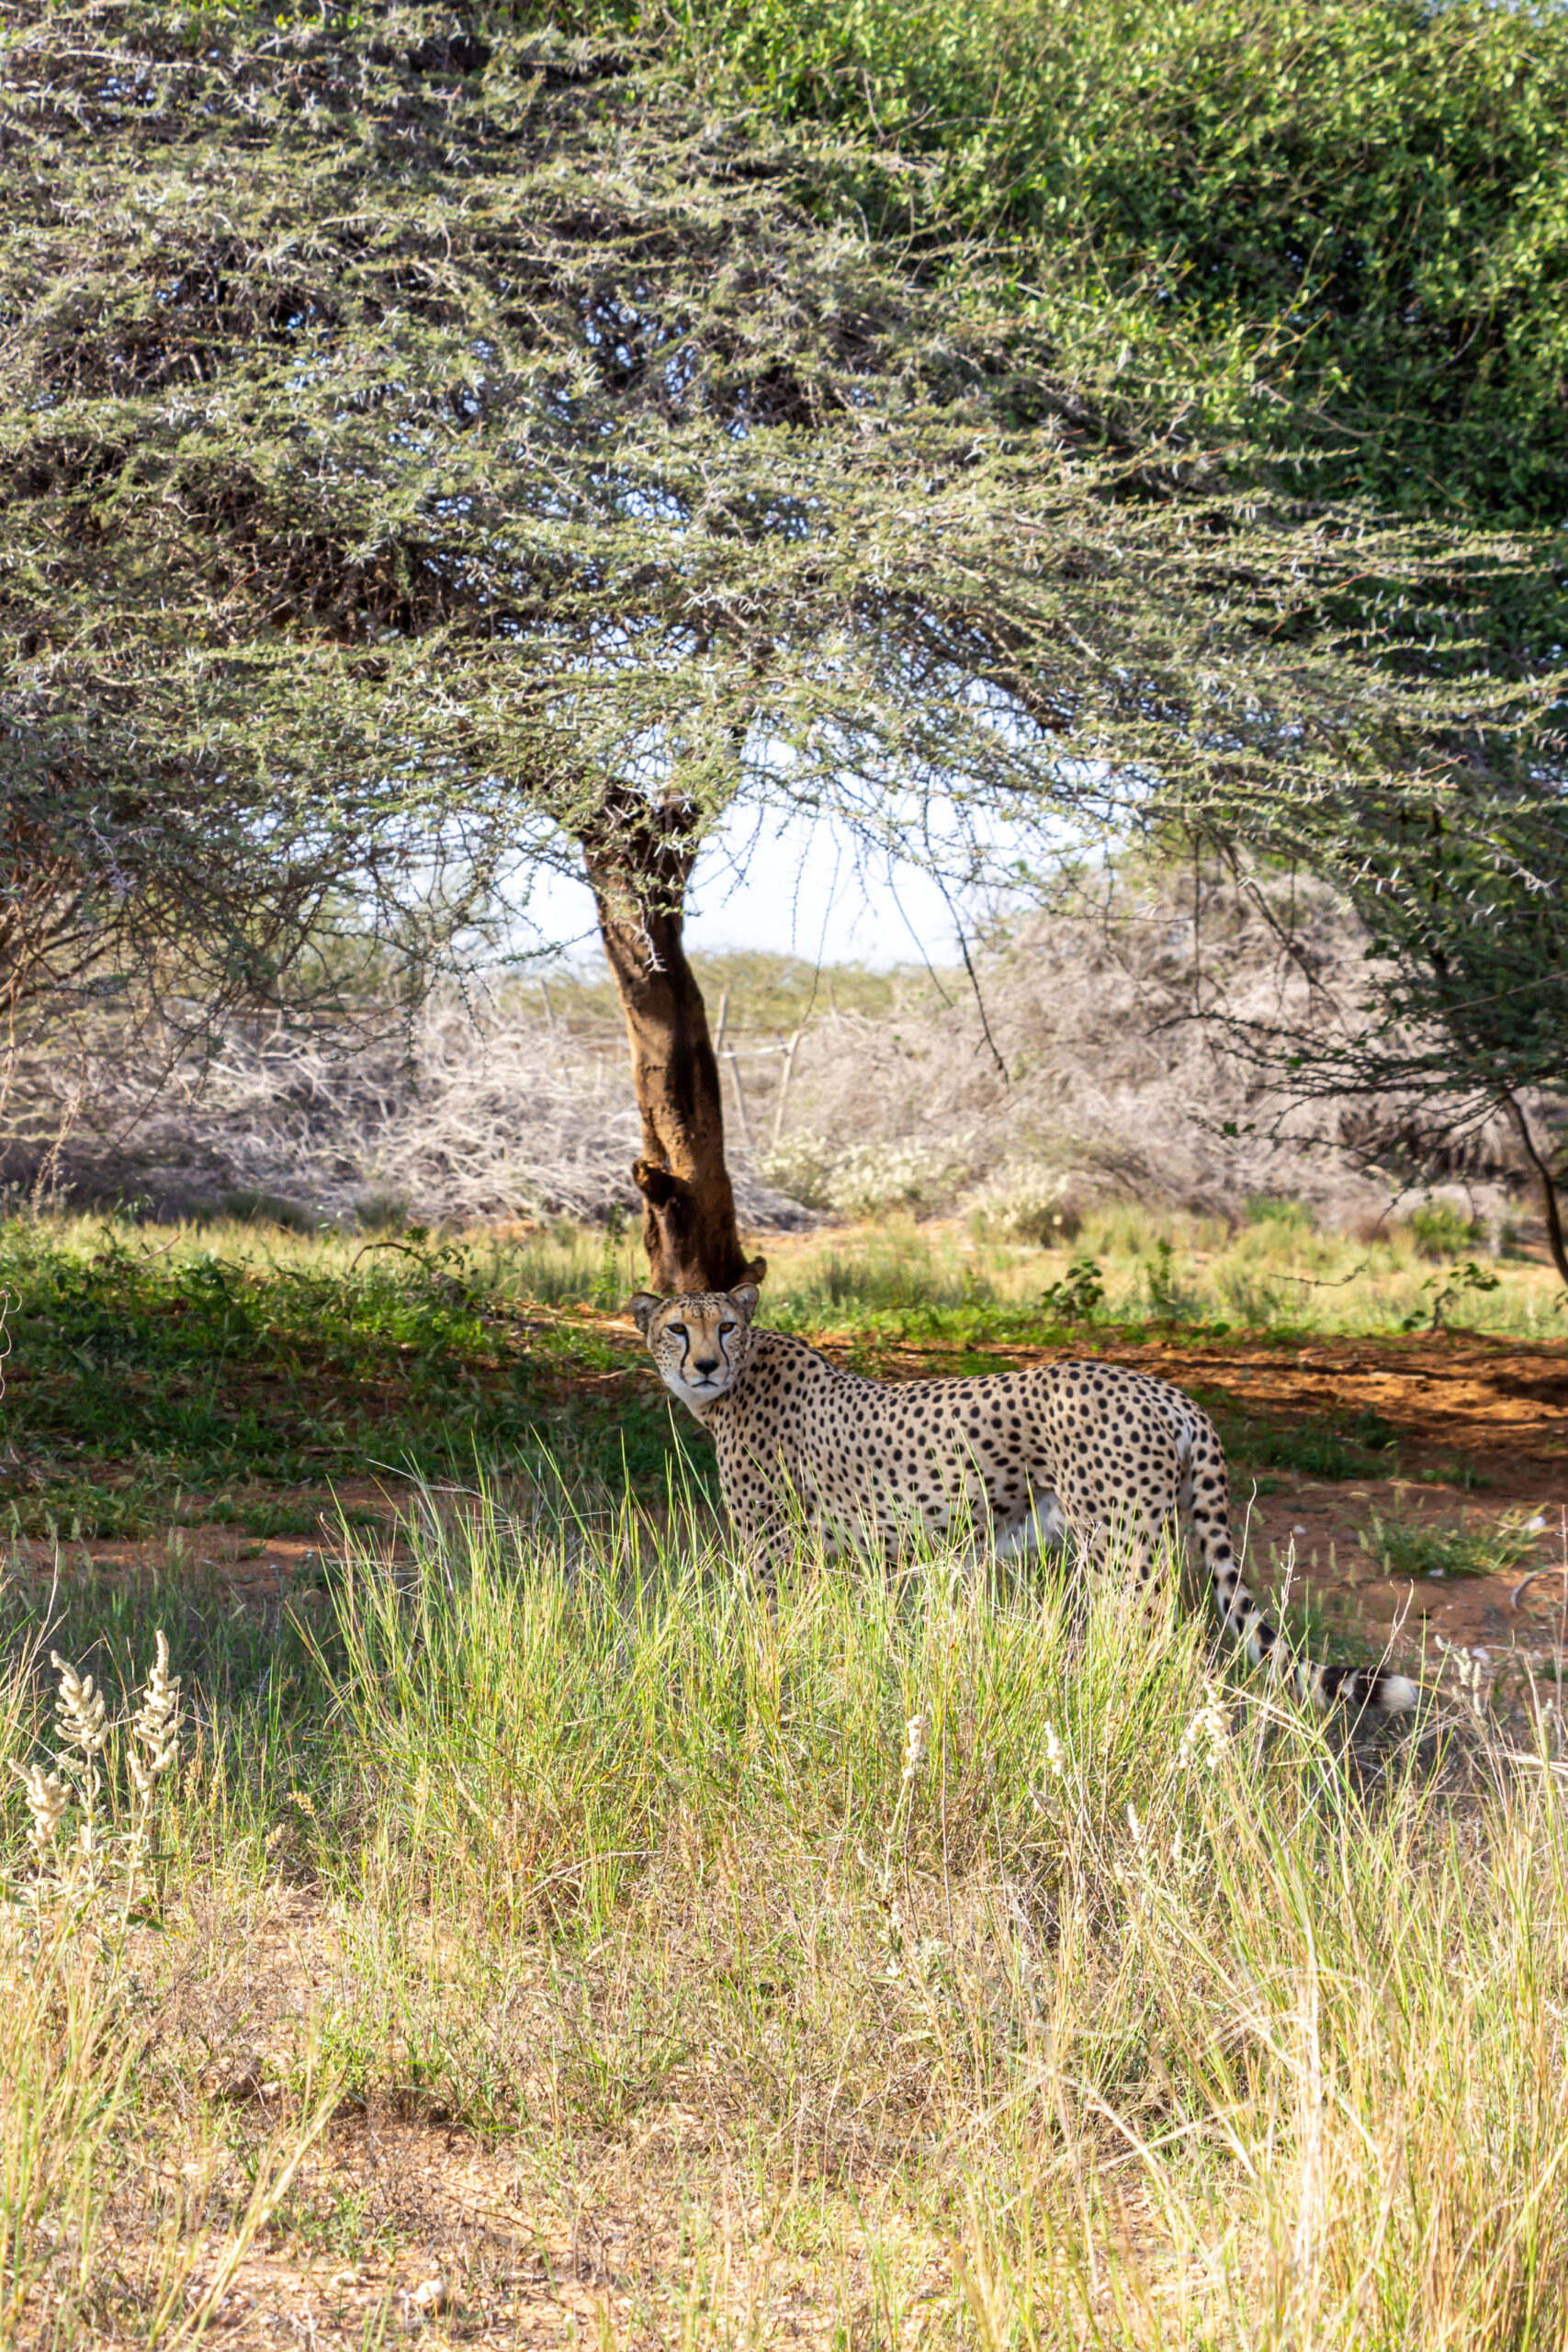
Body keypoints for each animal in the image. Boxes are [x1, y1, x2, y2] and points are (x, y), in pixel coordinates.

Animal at [629, 1288, 1419, 1712]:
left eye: (725, 1325)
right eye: (677, 1327)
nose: (704, 1364)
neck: (741, 1380)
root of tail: (1167, 1391)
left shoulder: (769, 1548)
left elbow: (766, 1634)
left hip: (1121, 1553)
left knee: (1164, 1651)